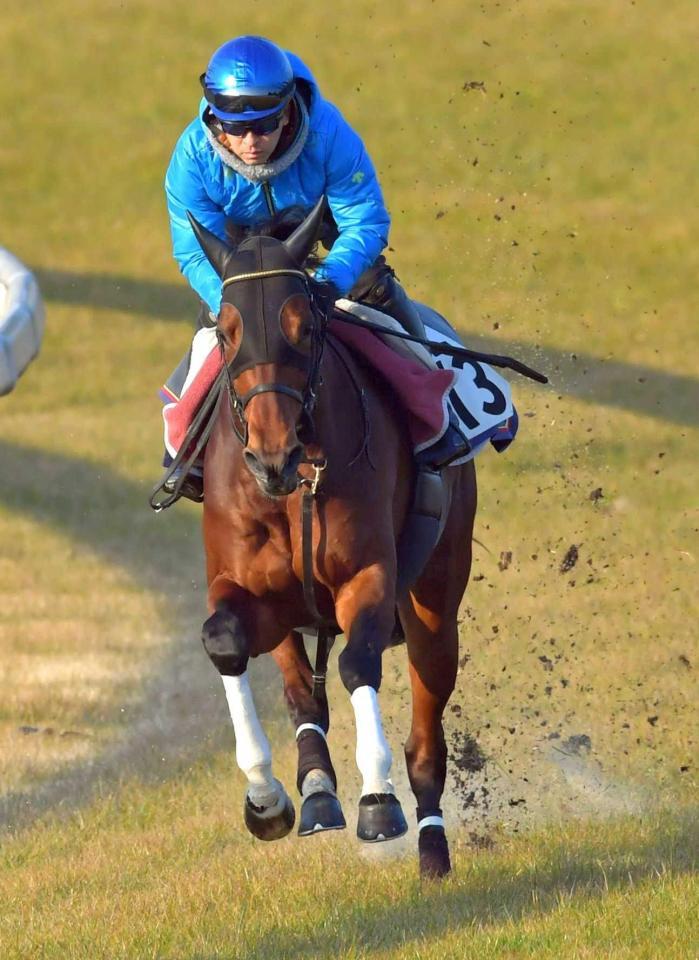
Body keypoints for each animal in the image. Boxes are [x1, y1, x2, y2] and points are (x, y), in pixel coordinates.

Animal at [186, 197, 477, 879]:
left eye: (302, 326)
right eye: (227, 330)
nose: (272, 455)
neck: (294, 488)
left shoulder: (366, 576)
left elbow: (357, 663)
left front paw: (378, 802)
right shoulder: (253, 590)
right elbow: (226, 644)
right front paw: (266, 796)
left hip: (434, 603)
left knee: (426, 736)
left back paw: (431, 845)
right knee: (301, 695)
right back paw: (317, 789)